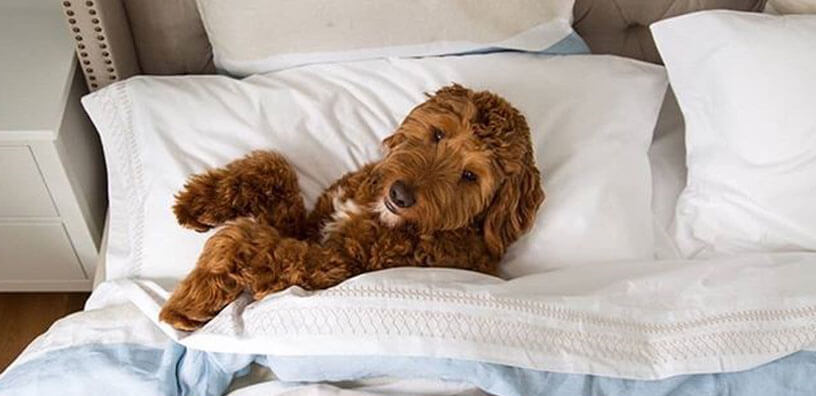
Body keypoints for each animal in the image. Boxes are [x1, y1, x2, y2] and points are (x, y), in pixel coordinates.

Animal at [159, 84, 544, 332]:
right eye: (438, 134)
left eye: (470, 176)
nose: (400, 194)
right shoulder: (310, 226)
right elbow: (275, 166)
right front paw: (198, 201)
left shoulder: (330, 266)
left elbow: (244, 242)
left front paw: (188, 302)